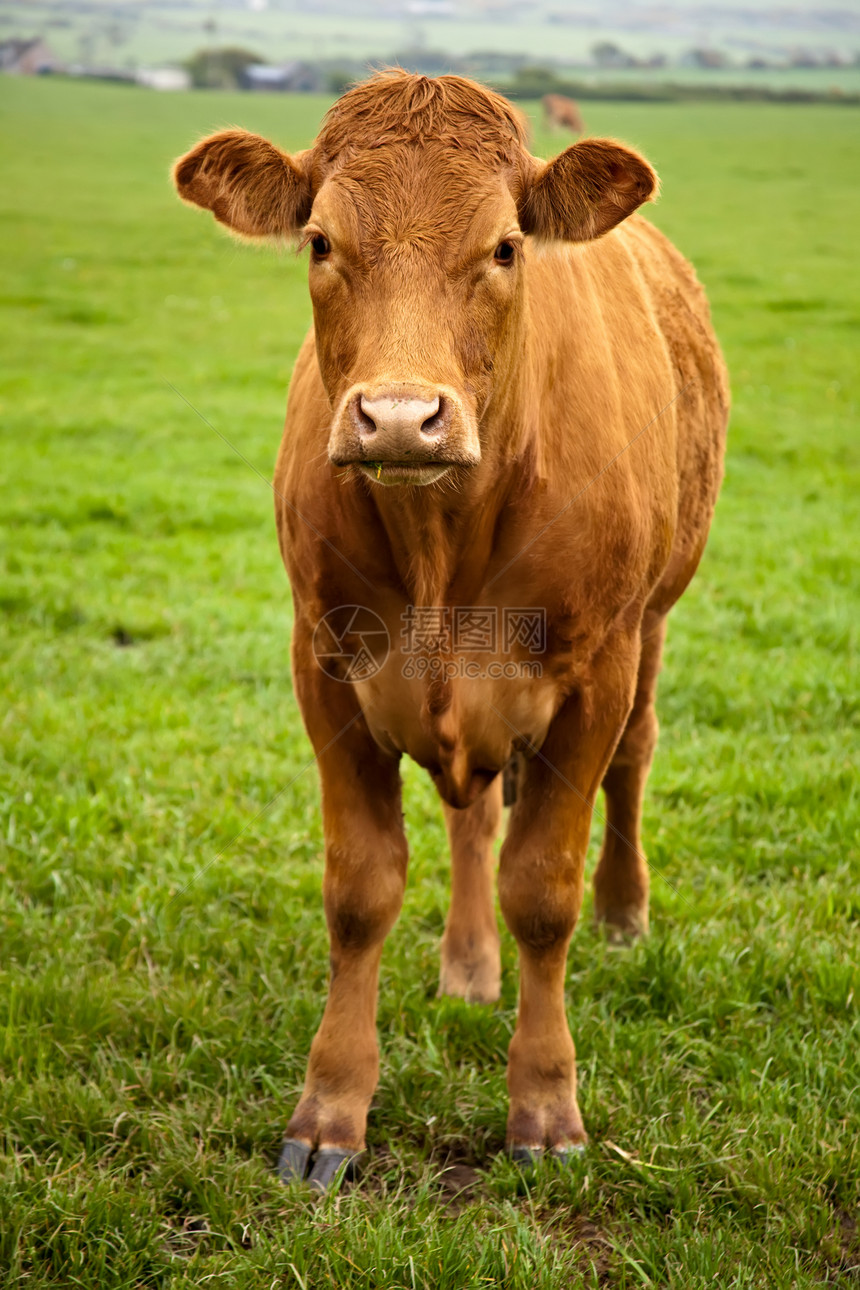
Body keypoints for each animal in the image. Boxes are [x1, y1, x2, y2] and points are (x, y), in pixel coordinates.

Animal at [172, 68, 727, 1186]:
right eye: (320, 242)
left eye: (506, 246)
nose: (397, 418)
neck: (440, 538)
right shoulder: (324, 664)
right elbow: (362, 888)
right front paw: (330, 1111)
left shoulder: (593, 672)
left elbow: (543, 890)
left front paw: (545, 1109)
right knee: (473, 817)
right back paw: (468, 964)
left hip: (652, 625)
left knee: (634, 761)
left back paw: (625, 914)